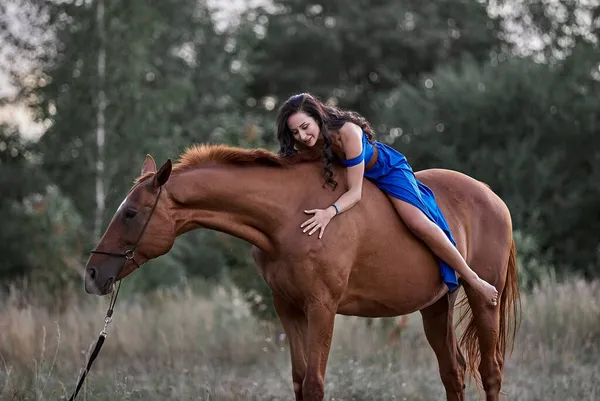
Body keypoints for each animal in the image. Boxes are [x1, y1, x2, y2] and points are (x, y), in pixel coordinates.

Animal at [84, 145, 520, 400]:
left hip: (482, 301)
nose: (91, 273)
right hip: (436, 305)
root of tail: (492, 196)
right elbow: (298, 381)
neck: (289, 215)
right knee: (453, 373)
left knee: (491, 372)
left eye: (131, 213)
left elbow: (314, 384)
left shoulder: (321, 308)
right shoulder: (289, 309)